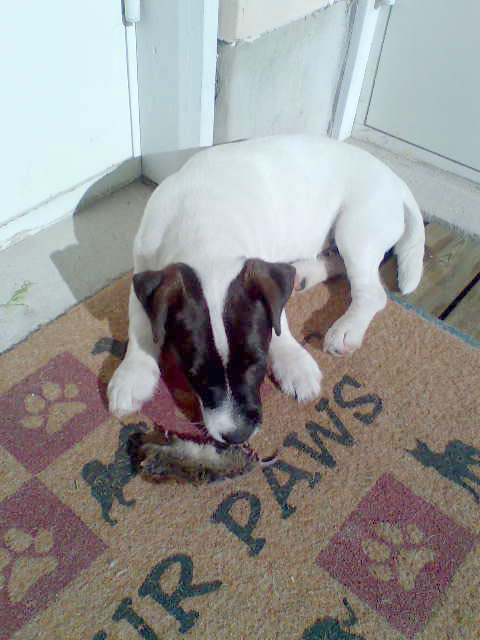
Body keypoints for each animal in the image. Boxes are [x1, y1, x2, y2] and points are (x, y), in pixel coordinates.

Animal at [108, 135, 424, 444]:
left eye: (257, 362)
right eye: (194, 374)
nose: (237, 436)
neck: (205, 232)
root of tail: (396, 180)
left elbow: (279, 321)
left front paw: (293, 362)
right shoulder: (142, 272)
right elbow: (139, 323)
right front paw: (132, 374)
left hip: (355, 228)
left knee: (371, 291)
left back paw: (347, 329)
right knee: (338, 263)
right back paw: (304, 274)